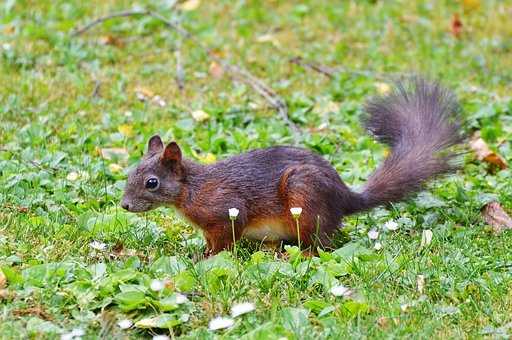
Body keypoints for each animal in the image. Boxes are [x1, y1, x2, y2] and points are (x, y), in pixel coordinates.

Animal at [121, 78, 464, 256]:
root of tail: (344, 198)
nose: (124, 205)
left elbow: (224, 239)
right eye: (130, 172)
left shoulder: (225, 209)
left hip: (305, 198)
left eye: (151, 182)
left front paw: (206, 257)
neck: (190, 190)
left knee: (324, 242)